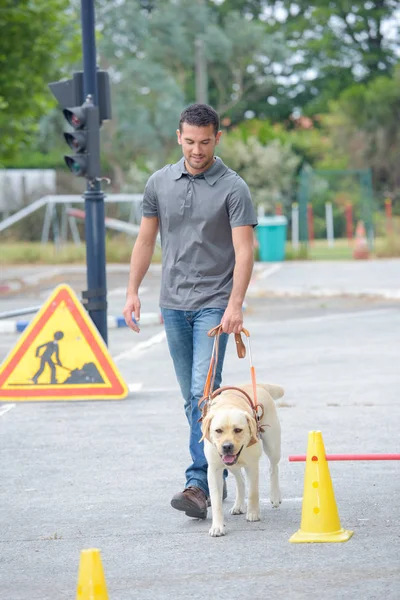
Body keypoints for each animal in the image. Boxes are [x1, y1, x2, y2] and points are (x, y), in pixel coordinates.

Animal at [202, 384, 282, 540]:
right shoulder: (214, 470)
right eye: (218, 431)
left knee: (273, 468)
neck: (228, 404)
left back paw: (275, 497)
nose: (227, 446)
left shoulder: (253, 465)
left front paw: (253, 514)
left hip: (273, 445)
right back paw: (238, 505)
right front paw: (217, 527)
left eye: (238, 430)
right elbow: (216, 501)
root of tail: (259, 385)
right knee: (241, 481)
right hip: (231, 465)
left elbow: (253, 492)